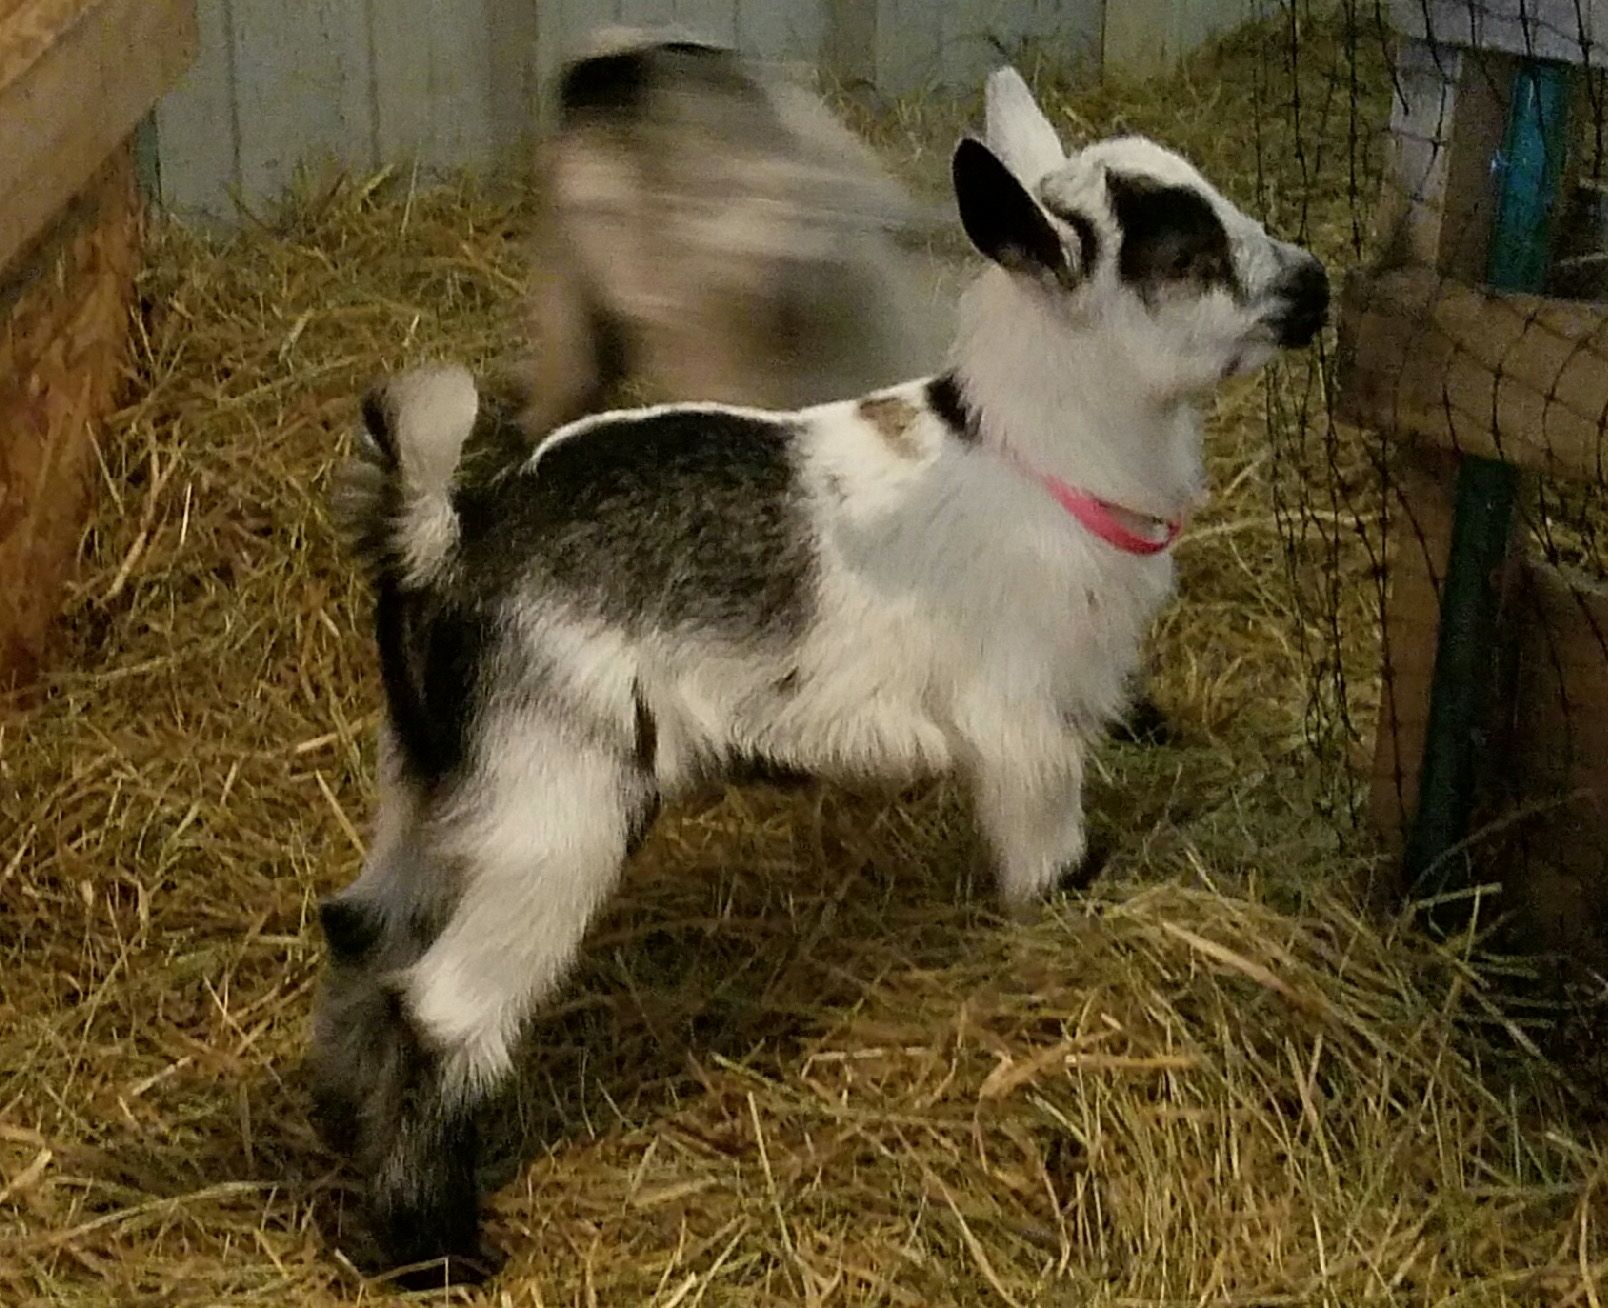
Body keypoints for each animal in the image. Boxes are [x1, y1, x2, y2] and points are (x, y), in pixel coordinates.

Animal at [310, 66, 1329, 1283]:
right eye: (1183, 254)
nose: (1316, 285)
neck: (1034, 460)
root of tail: (449, 540)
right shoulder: (1027, 732)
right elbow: (1050, 871)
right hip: (549, 804)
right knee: (442, 1010)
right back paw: (436, 1249)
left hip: (425, 781)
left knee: (361, 930)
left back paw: (339, 1128)